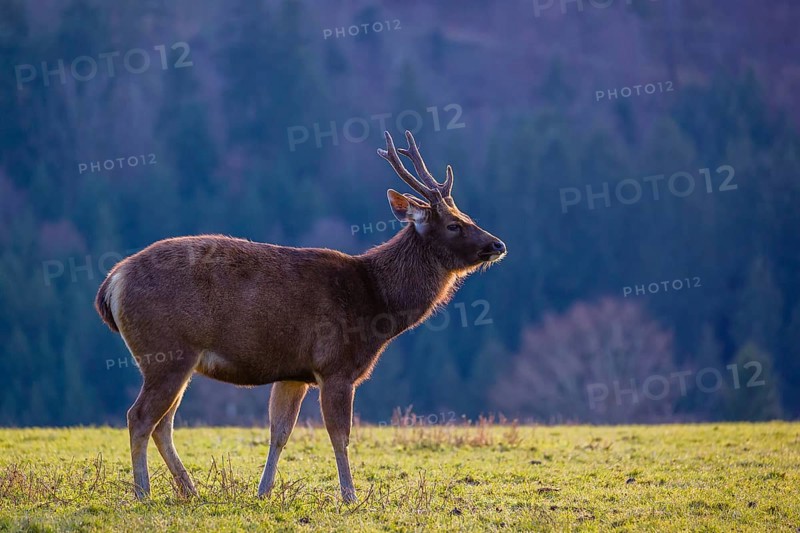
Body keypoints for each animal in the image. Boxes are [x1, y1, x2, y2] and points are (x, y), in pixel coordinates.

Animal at [95, 130, 506, 503]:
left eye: (466, 215)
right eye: (454, 224)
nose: (498, 244)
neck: (375, 303)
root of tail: (113, 282)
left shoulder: (293, 372)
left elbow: (280, 432)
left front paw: (263, 491)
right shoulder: (336, 365)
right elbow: (340, 435)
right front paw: (349, 495)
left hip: (179, 360)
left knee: (163, 424)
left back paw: (191, 490)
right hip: (166, 351)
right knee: (139, 417)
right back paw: (143, 492)